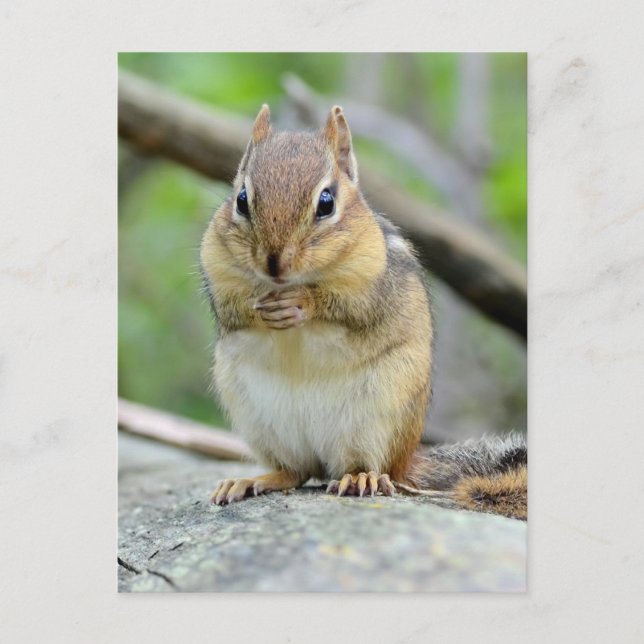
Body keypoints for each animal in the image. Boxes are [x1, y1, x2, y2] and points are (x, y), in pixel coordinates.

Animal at [200, 104, 527, 521]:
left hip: (377, 418)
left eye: (326, 202)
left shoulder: (372, 283)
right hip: (258, 419)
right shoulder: (216, 270)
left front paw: (302, 303)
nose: (275, 264)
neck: (287, 281)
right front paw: (263, 308)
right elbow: (233, 307)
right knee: (295, 471)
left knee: (364, 467)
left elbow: (348, 309)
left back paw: (359, 478)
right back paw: (251, 480)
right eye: (242, 199)